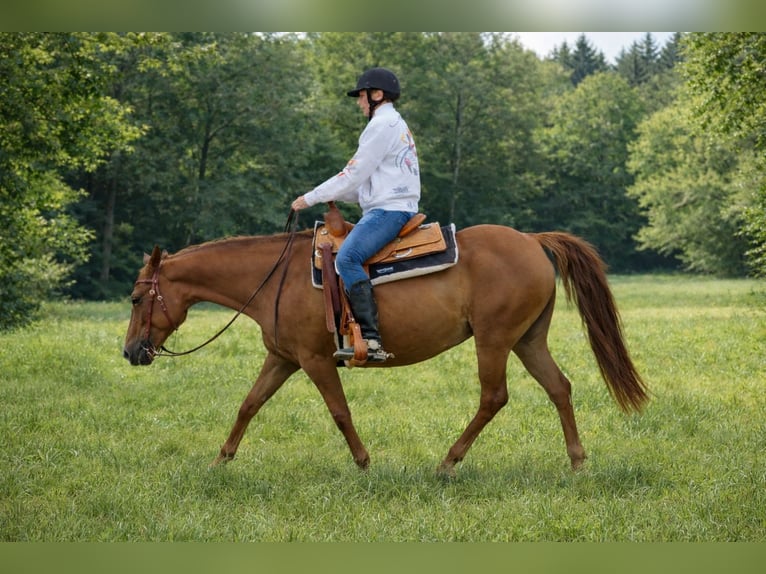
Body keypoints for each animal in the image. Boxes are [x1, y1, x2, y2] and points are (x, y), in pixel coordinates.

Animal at [123, 221, 648, 475]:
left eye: (134, 298)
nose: (130, 352)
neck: (274, 279)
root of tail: (533, 241)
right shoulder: (283, 359)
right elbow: (249, 405)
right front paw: (220, 461)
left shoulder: (315, 360)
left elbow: (339, 412)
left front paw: (363, 463)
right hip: (527, 340)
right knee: (560, 388)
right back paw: (577, 462)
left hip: (495, 339)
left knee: (494, 397)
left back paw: (447, 463)